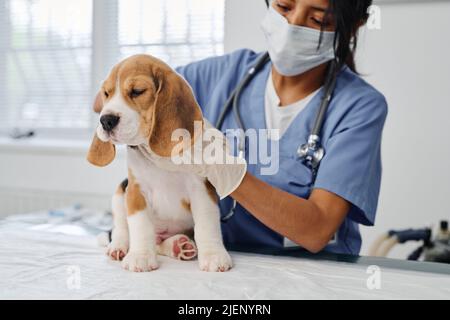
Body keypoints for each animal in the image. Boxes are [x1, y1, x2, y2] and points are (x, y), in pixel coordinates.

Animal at [86, 55, 232, 272]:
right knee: (121, 227)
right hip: (120, 191)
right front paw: (140, 256)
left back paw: (178, 246)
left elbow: (206, 224)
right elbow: (140, 226)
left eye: (137, 91)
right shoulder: (136, 191)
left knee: (160, 243)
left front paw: (214, 255)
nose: (106, 120)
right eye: (106, 93)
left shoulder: (202, 190)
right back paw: (119, 247)